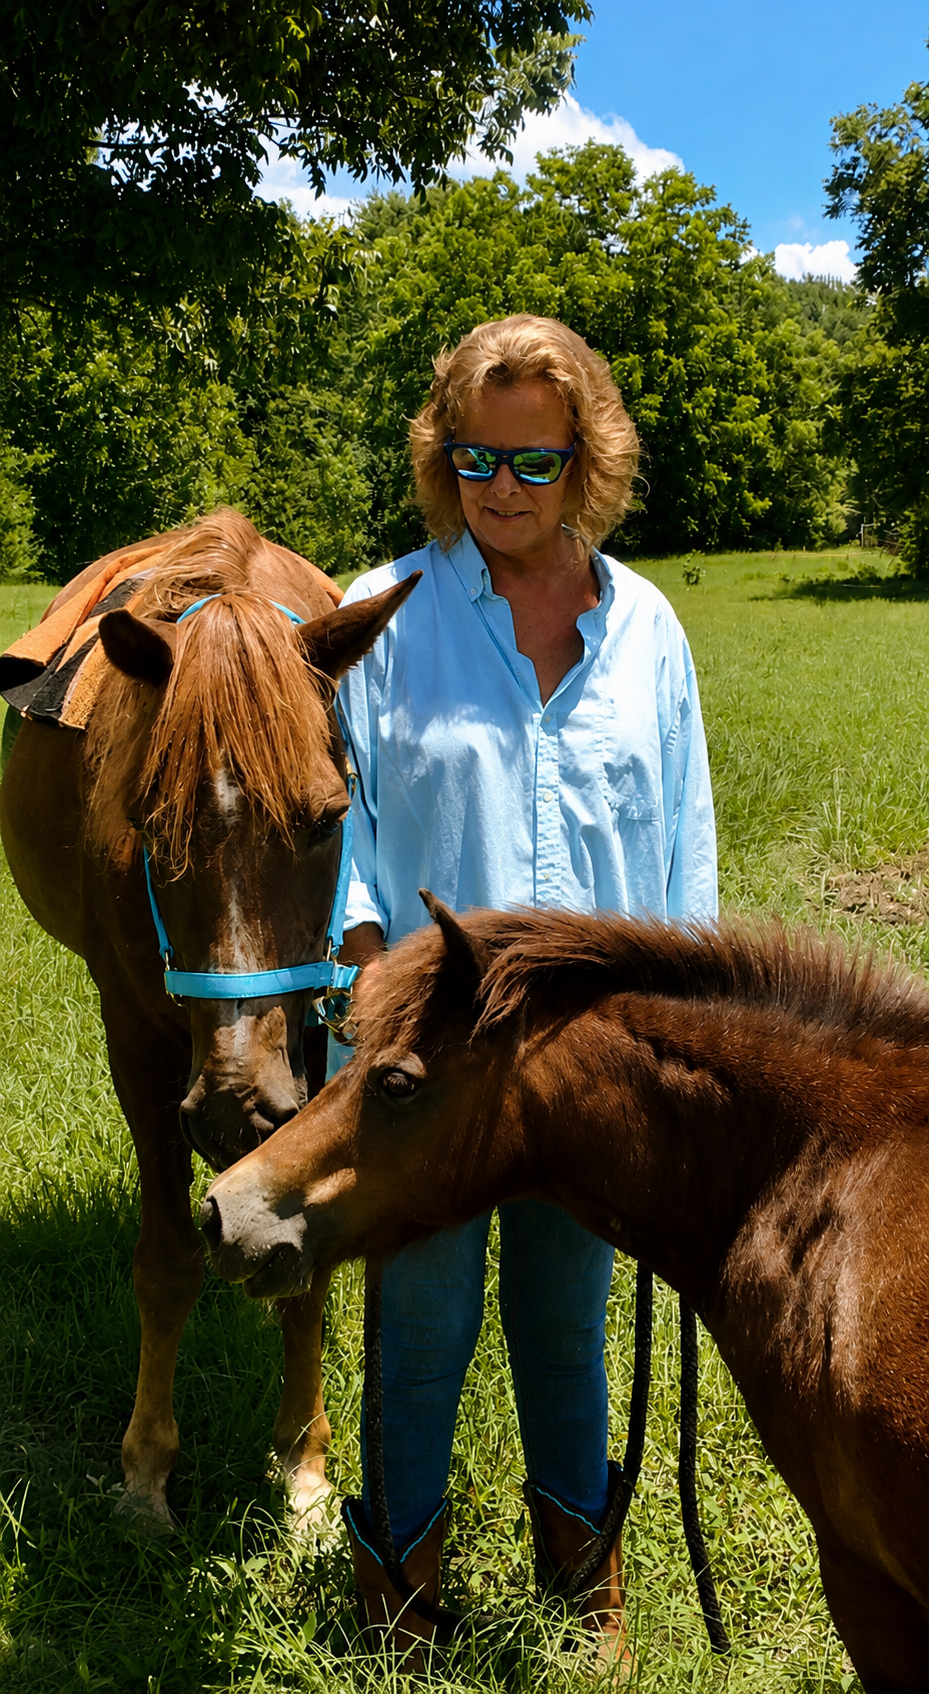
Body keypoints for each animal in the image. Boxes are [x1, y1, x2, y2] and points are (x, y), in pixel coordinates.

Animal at [0, 510, 417, 1529]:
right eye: (150, 823)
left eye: (327, 819)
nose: (236, 1106)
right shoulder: (139, 1044)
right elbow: (167, 1262)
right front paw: (146, 1471)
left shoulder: (318, 1034)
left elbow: (305, 1267)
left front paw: (304, 1469)